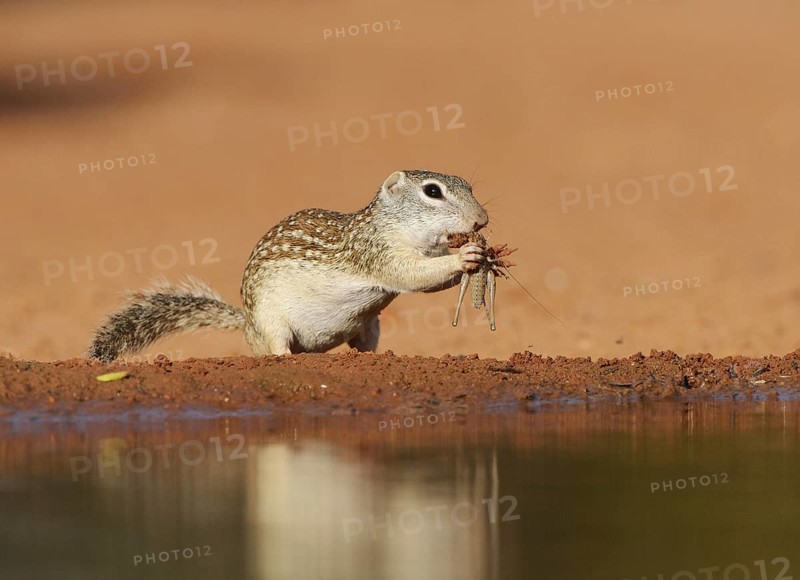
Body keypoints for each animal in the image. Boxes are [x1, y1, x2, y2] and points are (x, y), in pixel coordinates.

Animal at [88, 169, 489, 362]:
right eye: (433, 192)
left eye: (469, 186)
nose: (481, 220)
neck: (387, 223)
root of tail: (247, 326)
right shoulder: (376, 252)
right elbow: (414, 276)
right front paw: (465, 256)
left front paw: (473, 250)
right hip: (271, 321)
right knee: (278, 347)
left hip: (369, 326)